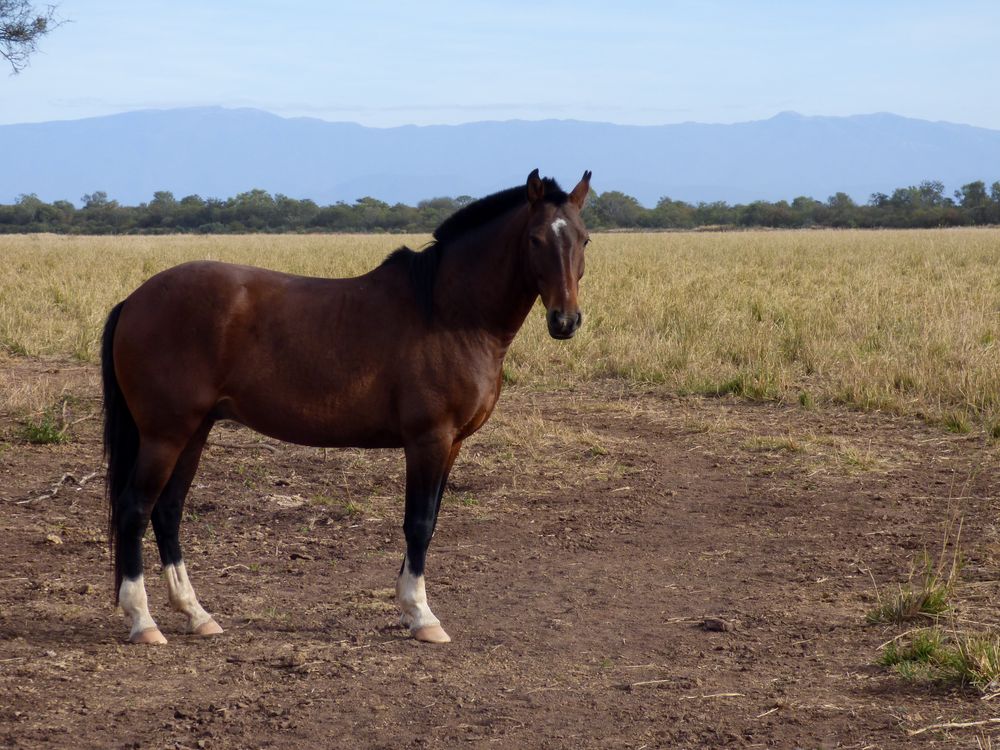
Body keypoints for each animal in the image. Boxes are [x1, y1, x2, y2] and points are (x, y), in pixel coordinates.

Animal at [101, 170, 588, 648]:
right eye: (535, 239)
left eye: (583, 239)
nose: (565, 321)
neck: (449, 313)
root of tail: (136, 299)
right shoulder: (429, 439)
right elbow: (418, 523)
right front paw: (421, 615)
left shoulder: (452, 445)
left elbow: (429, 522)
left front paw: (410, 608)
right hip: (165, 434)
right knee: (135, 510)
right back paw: (143, 621)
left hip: (194, 430)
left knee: (168, 511)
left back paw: (196, 614)